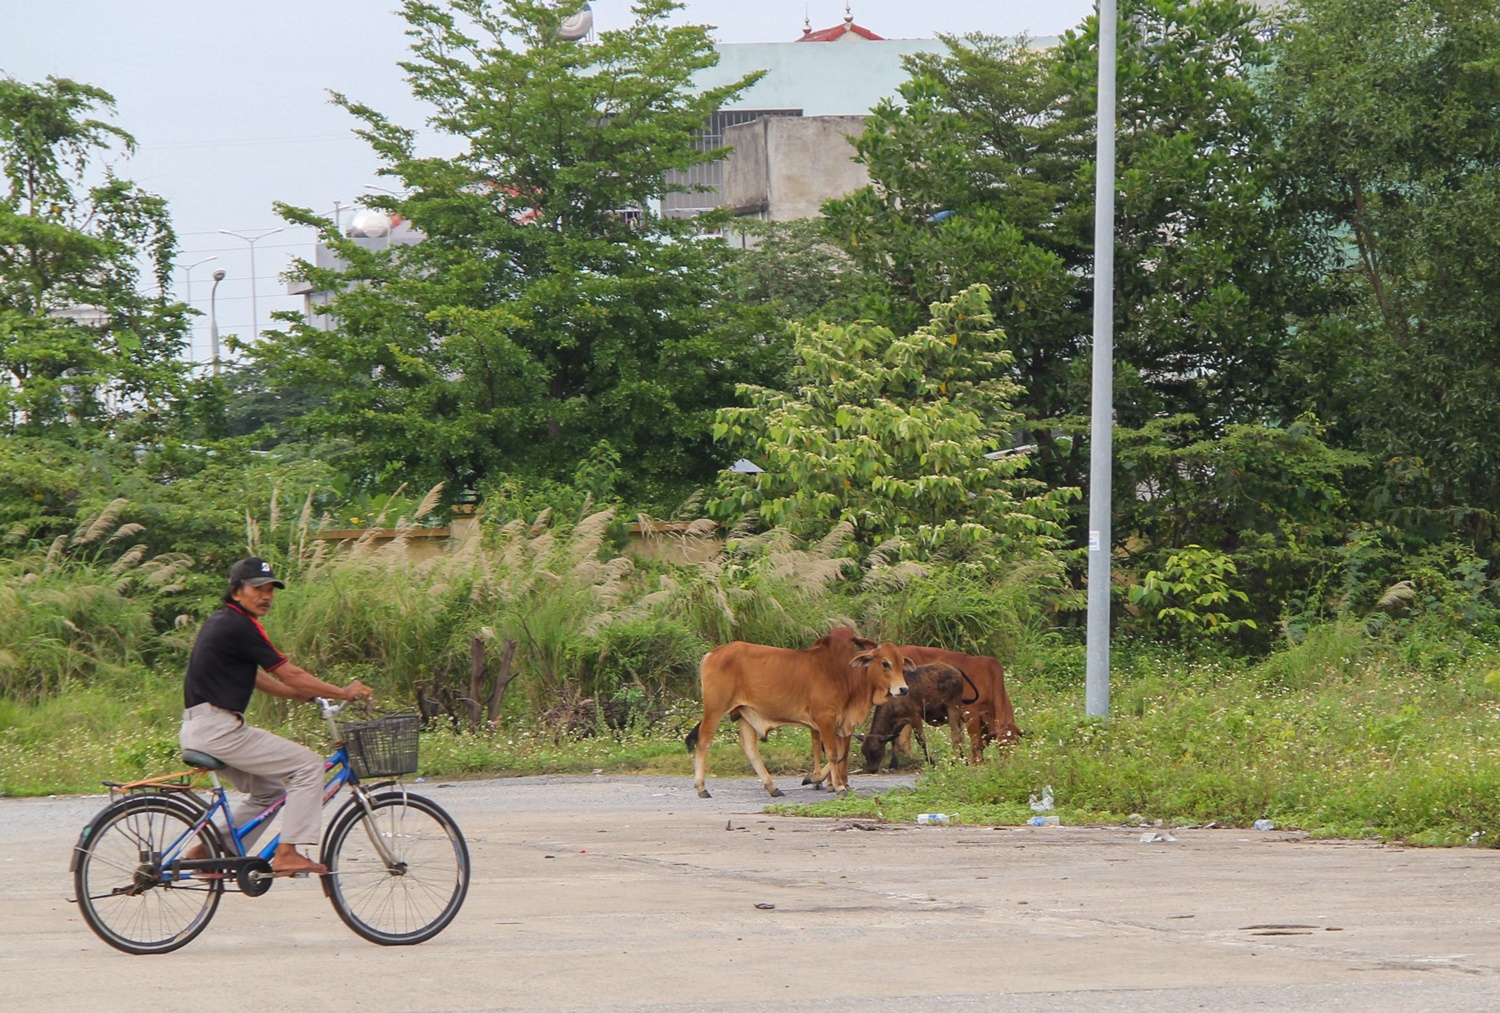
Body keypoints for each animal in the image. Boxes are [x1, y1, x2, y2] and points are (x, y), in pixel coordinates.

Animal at [687, 633, 912, 798]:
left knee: (749, 748)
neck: (845, 676)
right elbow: (833, 753)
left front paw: (814, 779)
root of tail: (712, 653)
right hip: (715, 708)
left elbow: (841, 755)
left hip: (745, 714)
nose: (903, 689)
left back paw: (772, 787)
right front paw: (838, 787)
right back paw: (702, 787)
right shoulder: (825, 719)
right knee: (704, 741)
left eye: (902, 663)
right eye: (885, 663)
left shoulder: (840, 723)